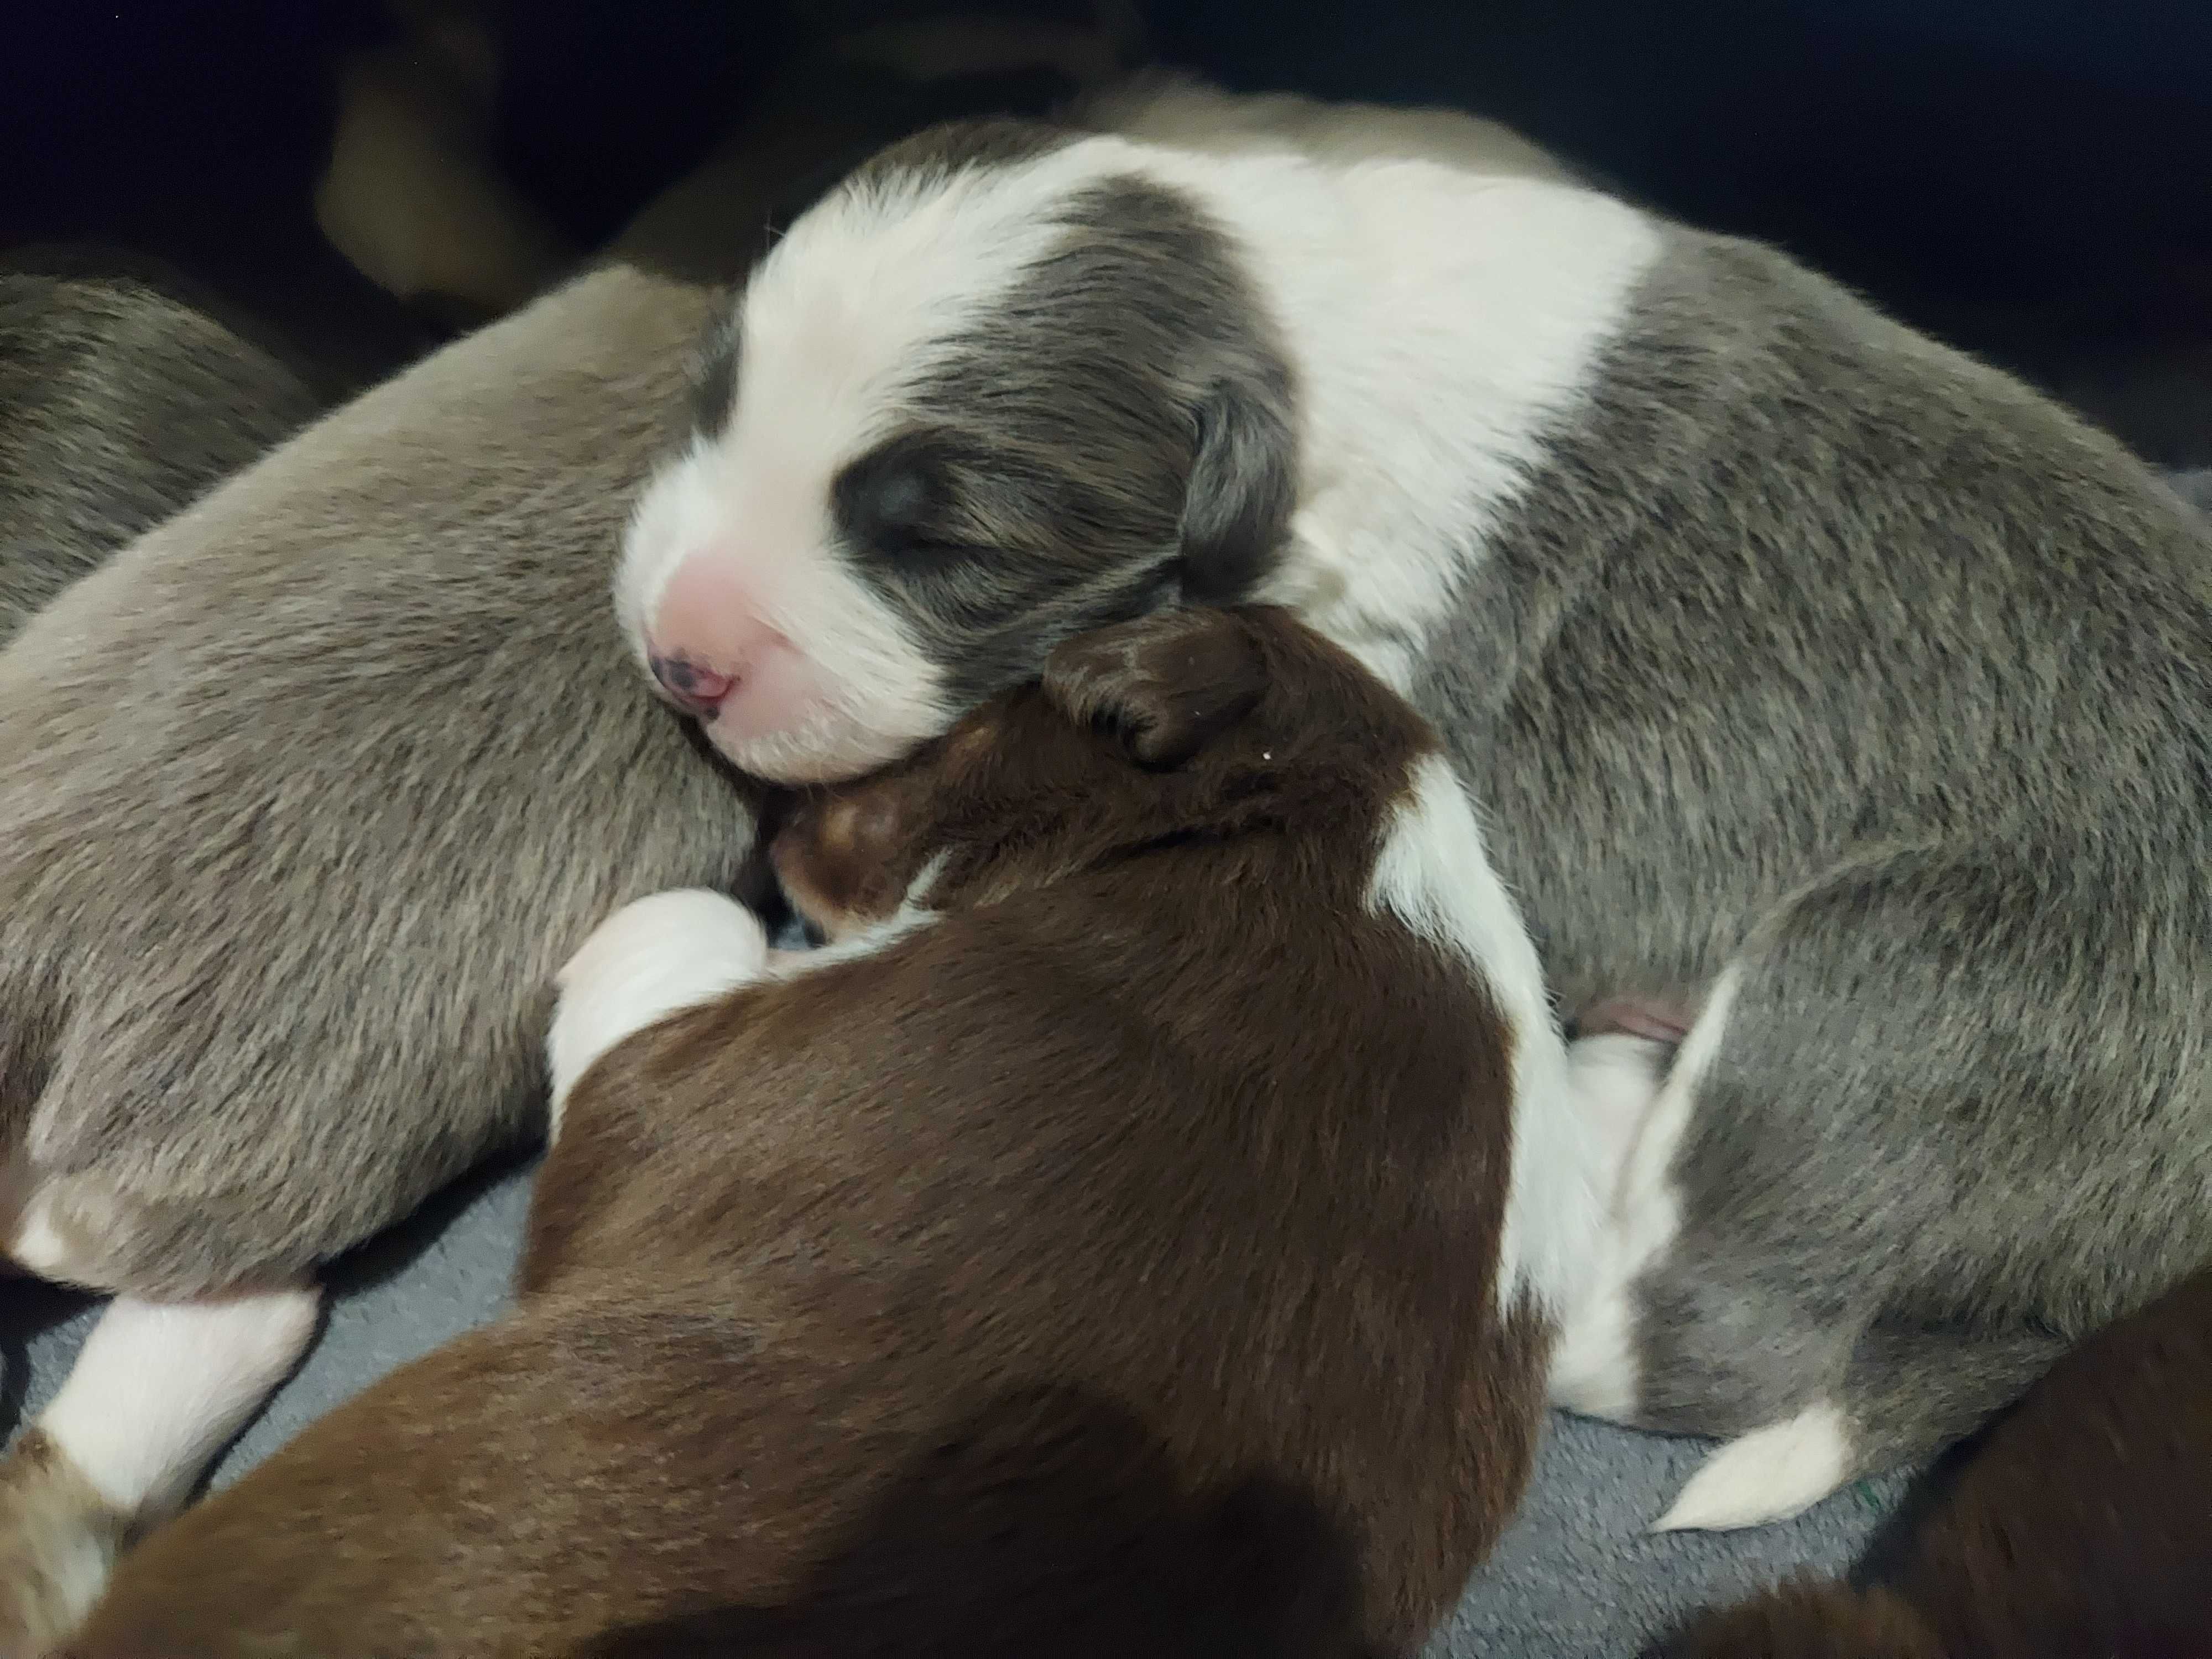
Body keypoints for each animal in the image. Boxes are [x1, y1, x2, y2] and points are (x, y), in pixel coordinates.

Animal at [615, 68, 2212, 1548]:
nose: (680, 657)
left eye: (943, 547)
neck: (1268, 296)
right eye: (712, 398)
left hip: (1891, 995)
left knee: (1710, 1334)